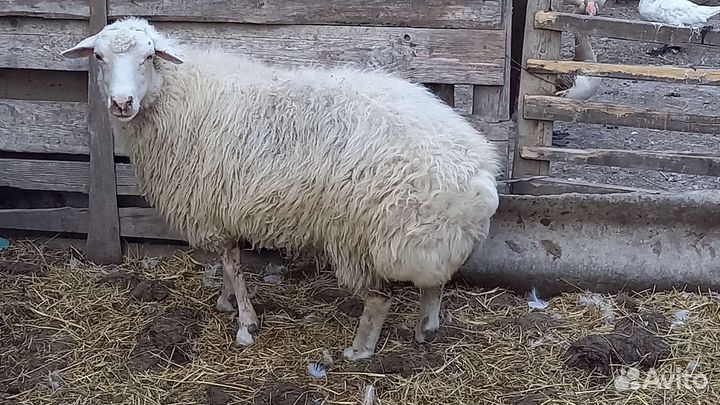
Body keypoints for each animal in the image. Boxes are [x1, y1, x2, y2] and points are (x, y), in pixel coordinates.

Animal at [60, 17, 502, 360]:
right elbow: (229, 263)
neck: (177, 92)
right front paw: (226, 302)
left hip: (366, 234)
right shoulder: (226, 208)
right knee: (434, 283)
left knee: (380, 297)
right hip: (428, 238)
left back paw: (360, 350)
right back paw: (426, 329)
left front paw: (245, 322)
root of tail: (479, 171)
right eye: (98, 57)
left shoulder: (213, 203)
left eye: (149, 56)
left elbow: (232, 264)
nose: (121, 103)